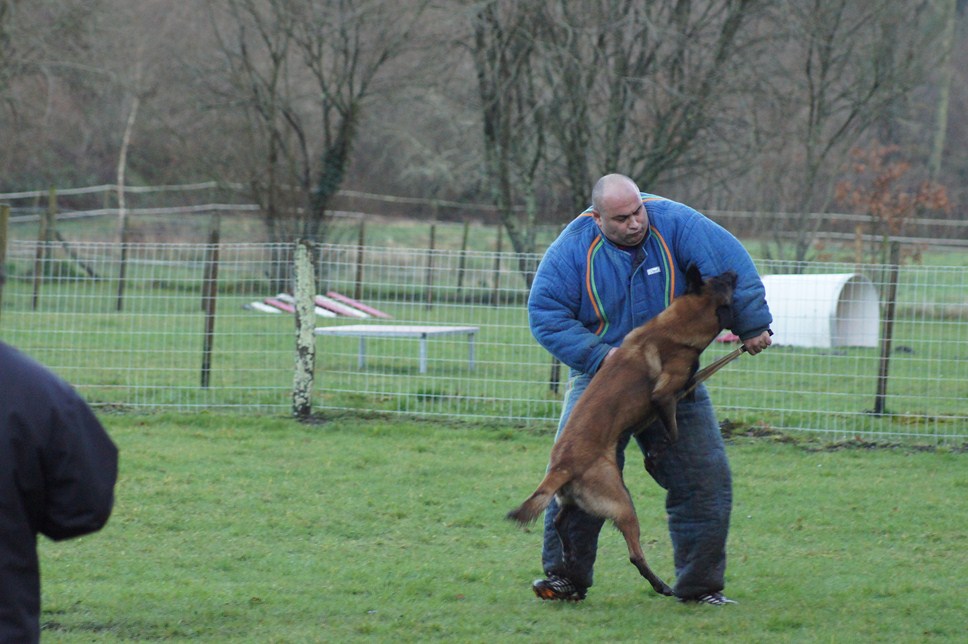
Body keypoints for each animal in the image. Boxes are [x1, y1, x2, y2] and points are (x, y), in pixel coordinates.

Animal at [506, 264, 732, 596]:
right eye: (721, 281)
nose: (734, 273)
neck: (670, 326)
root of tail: (561, 466)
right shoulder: (663, 397)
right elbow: (672, 434)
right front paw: (654, 458)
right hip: (622, 501)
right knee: (634, 553)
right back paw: (660, 585)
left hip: (578, 501)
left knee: (560, 522)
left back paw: (570, 558)